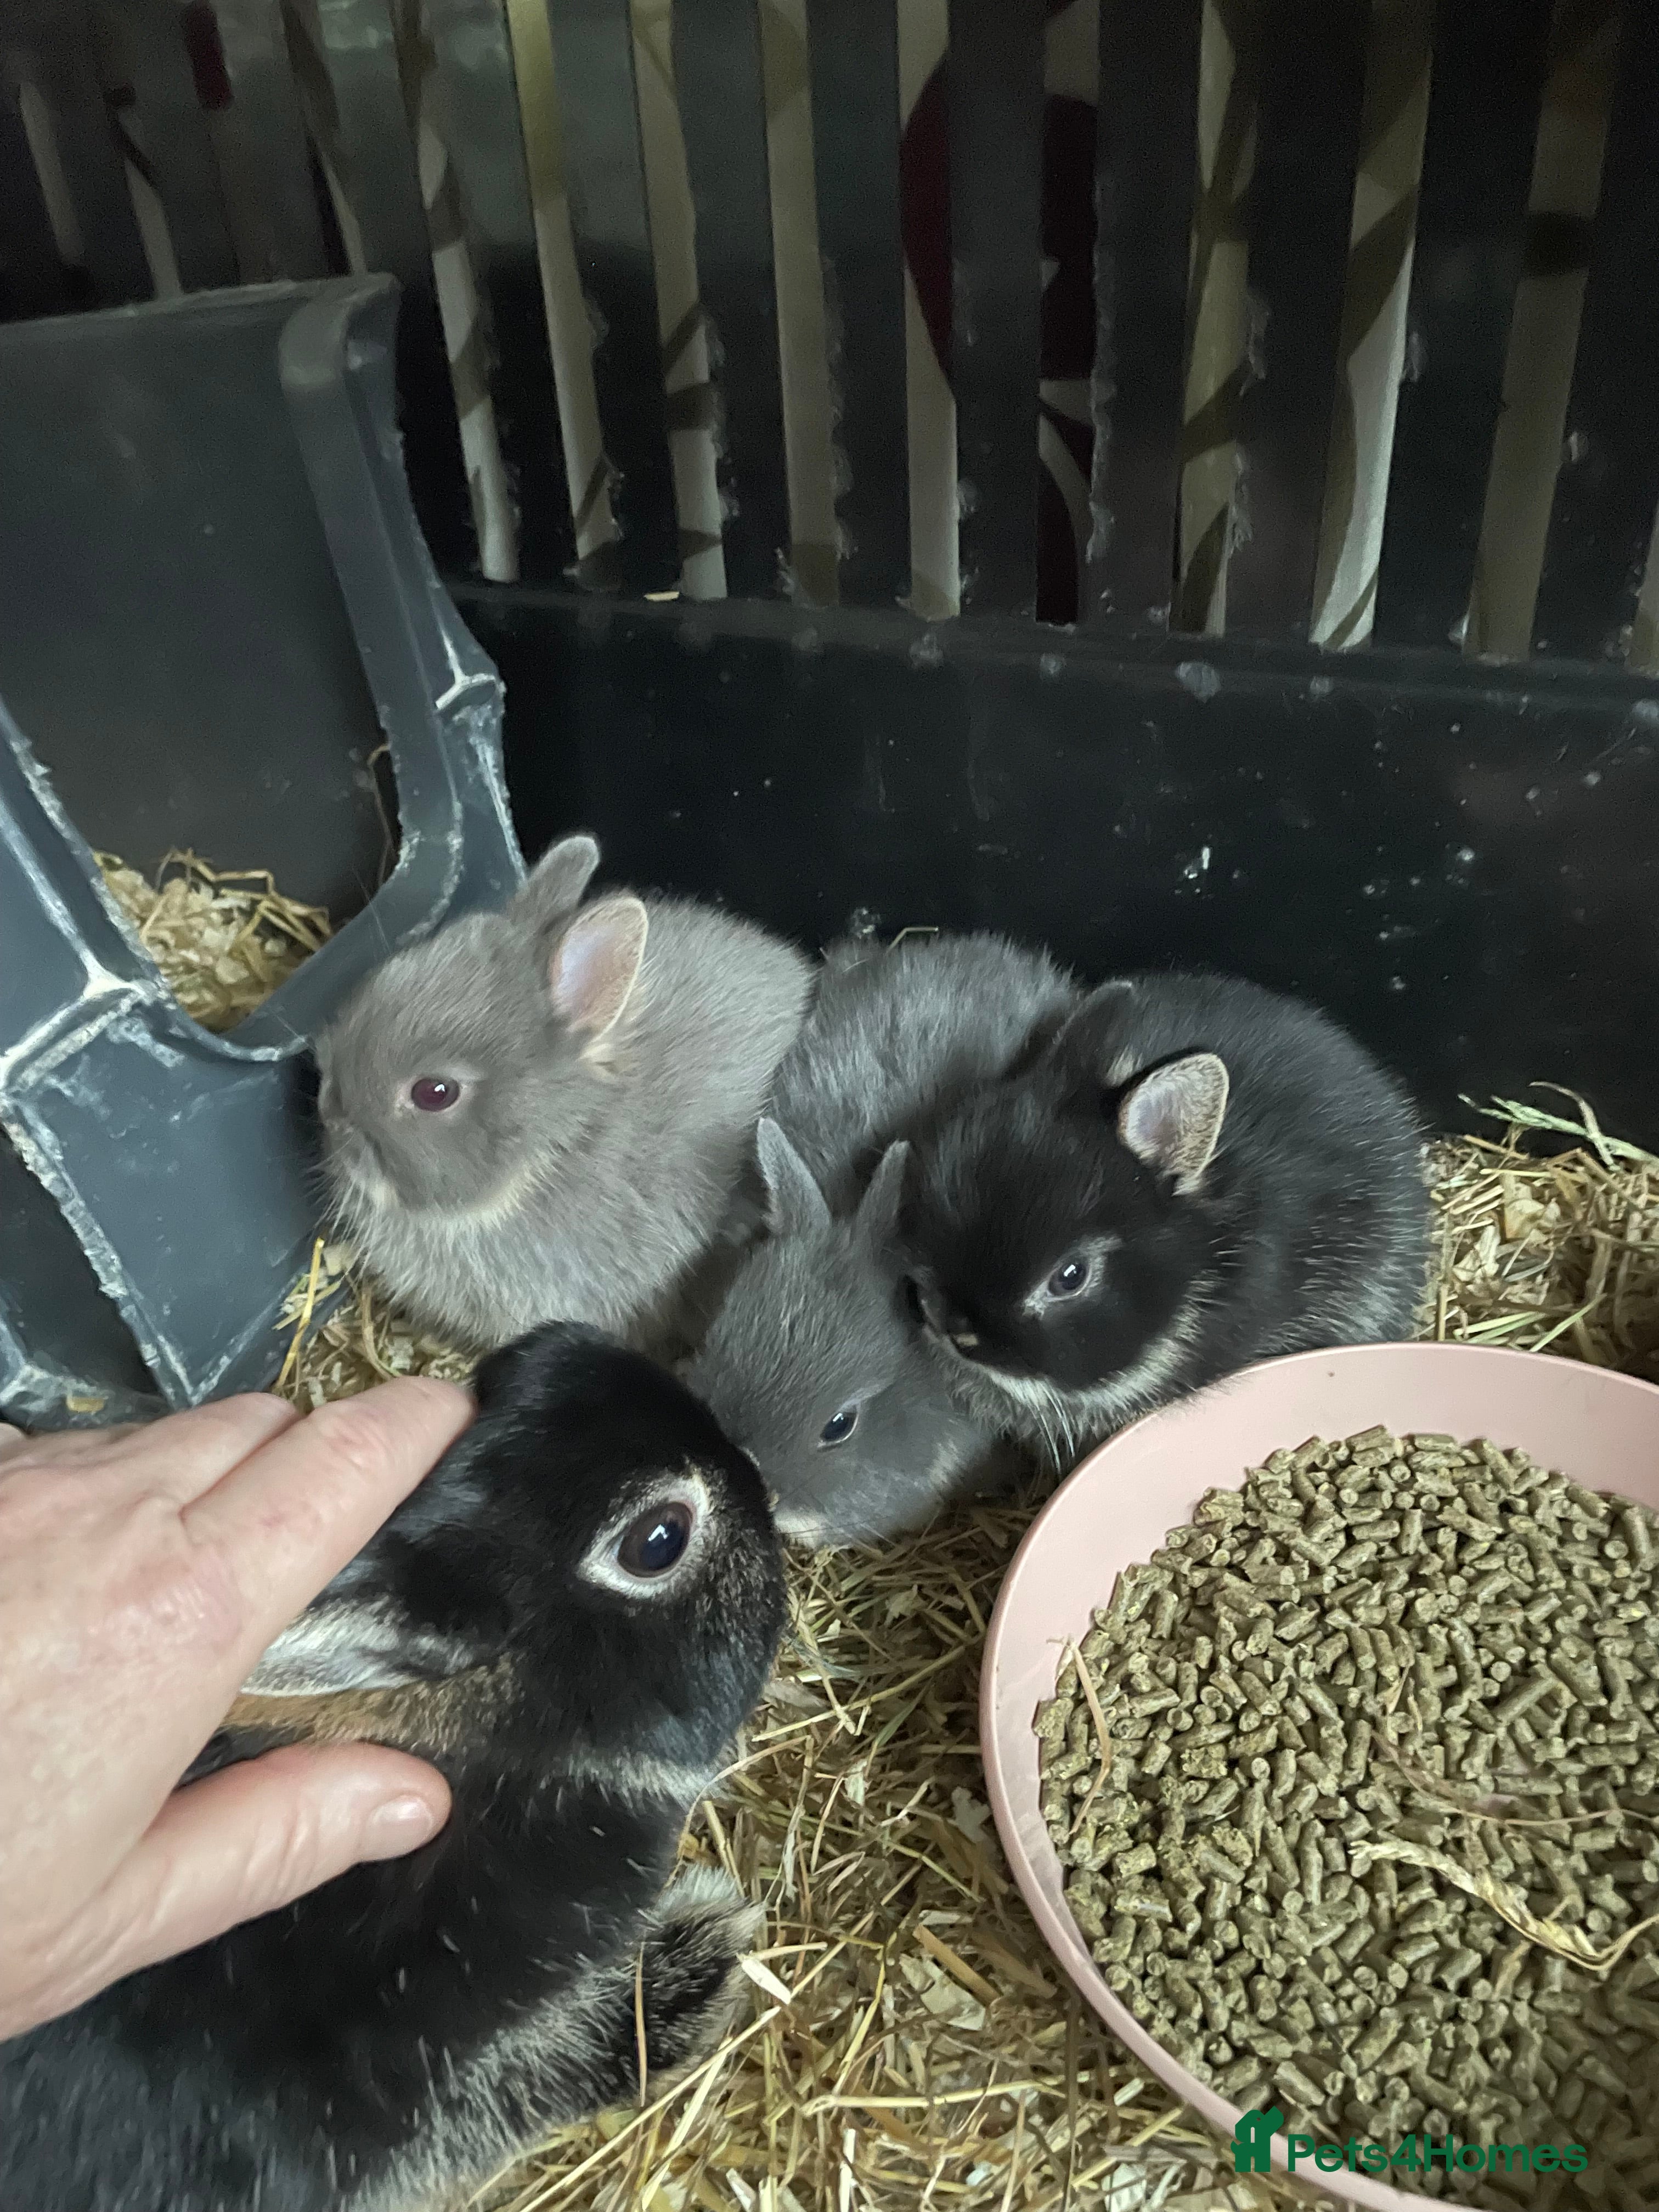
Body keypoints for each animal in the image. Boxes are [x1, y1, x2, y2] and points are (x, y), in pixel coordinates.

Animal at [0, 1322, 788, 2212]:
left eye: (532, 1355)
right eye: (659, 1540)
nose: (757, 1471)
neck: (501, 1759)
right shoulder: (447, 2070)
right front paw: (703, 1959)